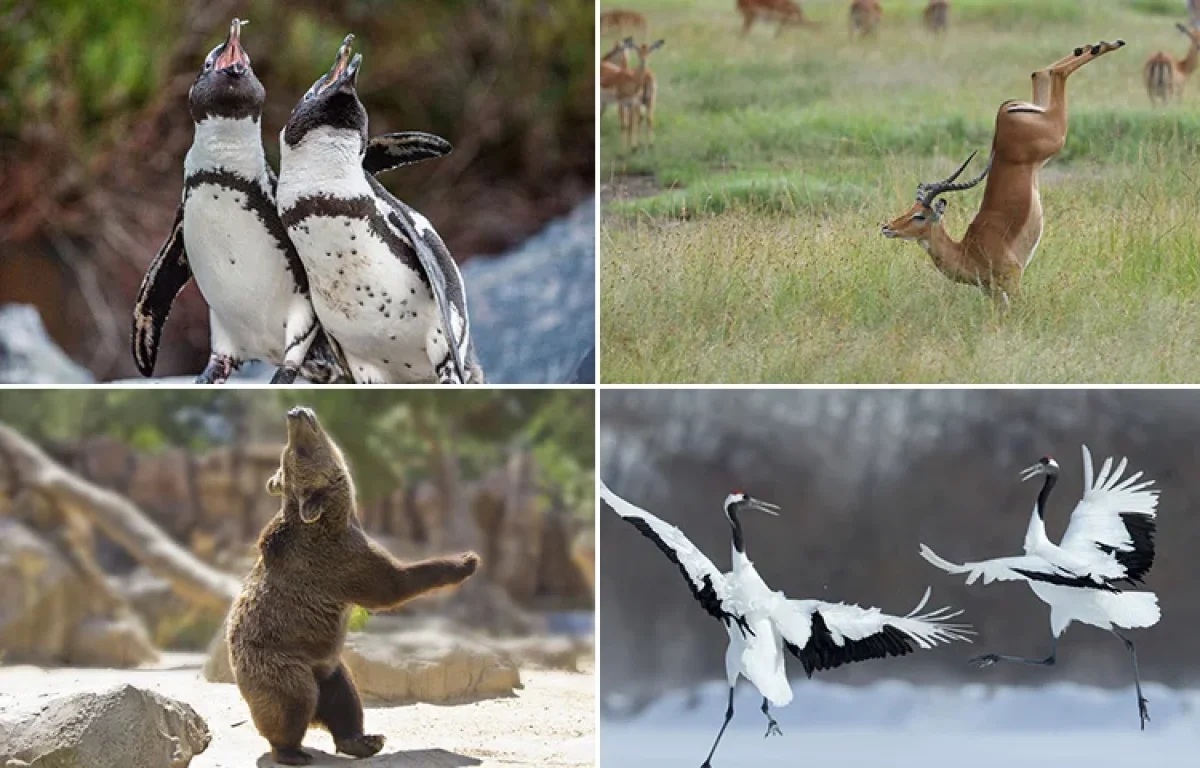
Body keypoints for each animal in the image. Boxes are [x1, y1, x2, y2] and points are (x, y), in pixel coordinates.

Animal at [229, 405, 477, 763]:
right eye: (296, 451)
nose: (295, 412)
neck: (340, 515)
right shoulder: (340, 562)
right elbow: (392, 584)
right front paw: (465, 561)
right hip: (281, 664)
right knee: (294, 702)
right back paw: (292, 751)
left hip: (328, 665)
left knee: (344, 698)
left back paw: (363, 740)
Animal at [883, 40, 1123, 301]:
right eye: (909, 209)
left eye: (919, 215)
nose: (887, 227)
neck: (970, 251)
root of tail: (1005, 110)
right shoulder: (993, 293)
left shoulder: (1013, 281)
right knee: (1042, 72)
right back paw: (1096, 46)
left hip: (1056, 134)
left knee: (1056, 75)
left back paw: (1106, 45)